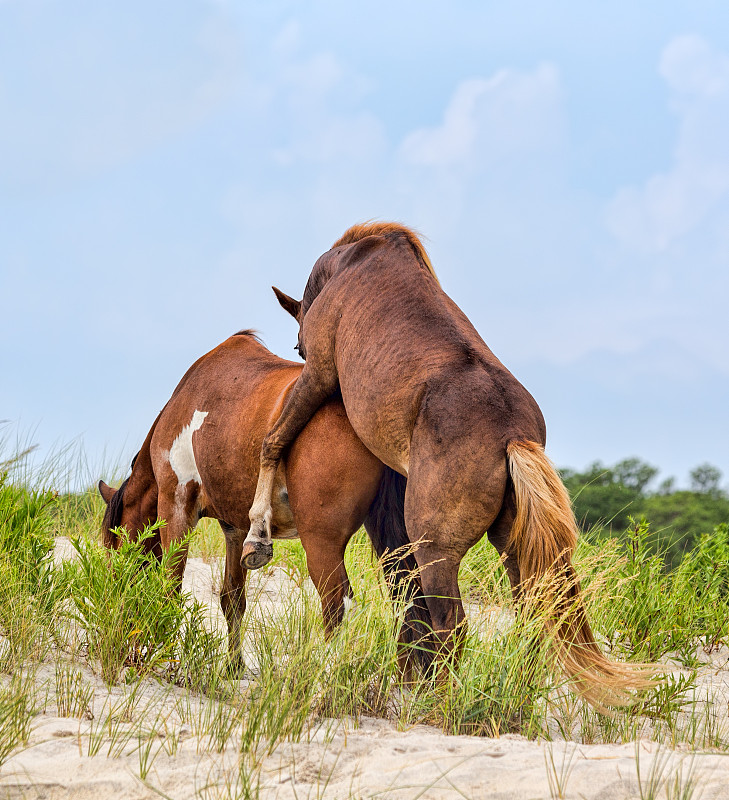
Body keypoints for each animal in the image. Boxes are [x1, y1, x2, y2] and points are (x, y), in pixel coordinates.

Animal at [101, 328, 432, 672]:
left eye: (112, 546)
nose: (113, 598)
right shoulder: (234, 531)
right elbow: (232, 599)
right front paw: (234, 666)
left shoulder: (176, 507)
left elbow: (170, 589)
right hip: (392, 542)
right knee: (410, 606)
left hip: (321, 544)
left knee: (338, 606)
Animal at [245, 222, 656, 704]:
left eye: (300, 349)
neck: (352, 263)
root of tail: (512, 437)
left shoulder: (320, 374)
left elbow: (273, 441)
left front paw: (257, 538)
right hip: (512, 546)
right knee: (531, 616)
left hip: (435, 550)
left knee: (451, 625)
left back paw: (439, 700)